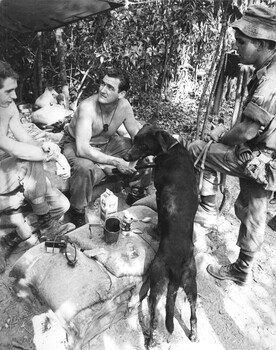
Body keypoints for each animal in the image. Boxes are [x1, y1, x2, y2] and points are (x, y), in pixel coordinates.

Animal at [124, 123, 198, 348]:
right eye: (134, 140)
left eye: (143, 145)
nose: (126, 155)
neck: (171, 149)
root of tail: (177, 268)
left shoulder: (157, 192)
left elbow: (159, 216)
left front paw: (156, 229)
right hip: (191, 283)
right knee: (194, 314)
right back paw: (194, 334)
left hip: (156, 283)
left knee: (155, 316)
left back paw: (152, 339)